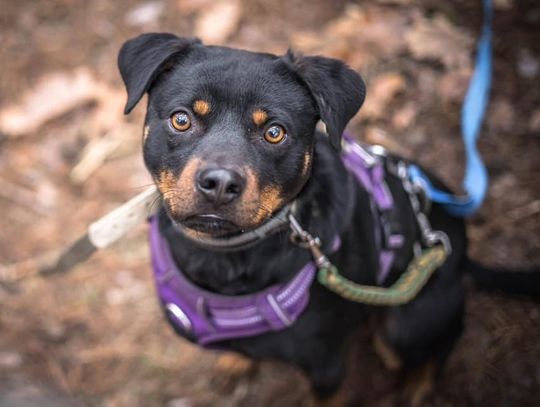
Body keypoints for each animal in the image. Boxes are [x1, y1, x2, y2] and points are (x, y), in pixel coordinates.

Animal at [118, 33, 540, 406]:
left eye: (275, 132)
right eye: (181, 119)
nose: (220, 183)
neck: (227, 257)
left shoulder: (326, 366)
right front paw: (235, 361)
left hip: (406, 326)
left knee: (440, 343)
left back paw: (419, 388)